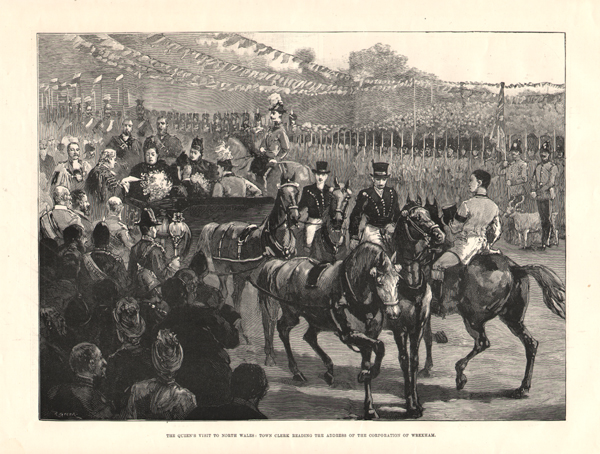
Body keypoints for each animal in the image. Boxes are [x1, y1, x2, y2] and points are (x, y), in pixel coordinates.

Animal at [200, 174, 302, 344]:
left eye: (297, 192)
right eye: (282, 194)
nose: (294, 217)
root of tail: (218, 226)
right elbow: (268, 313)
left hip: (240, 275)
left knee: (236, 297)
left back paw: (243, 333)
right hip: (222, 269)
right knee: (224, 293)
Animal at [251, 243, 400, 420]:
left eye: (397, 281)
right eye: (379, 281)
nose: (394, 313)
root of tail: (282, 265)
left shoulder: (369, 337)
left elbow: (370, 359)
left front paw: (369, 406)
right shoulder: (349, 334)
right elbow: (380, 346)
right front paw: (368, 375)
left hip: (316, 319)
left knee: (309, 336)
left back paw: (328, 370)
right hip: (292, 313)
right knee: (282, 329)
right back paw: (296, 371)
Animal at [392, 198, 564, 414]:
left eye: (425, 216)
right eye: (417, 217)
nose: (438, 235)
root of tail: (516, 268)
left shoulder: (424, 313)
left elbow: (426, 338)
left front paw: (428, 368)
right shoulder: (426, 314)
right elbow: (428, 339)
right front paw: (427, 367)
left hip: (473, 319)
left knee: (483, 342)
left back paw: (460, 376)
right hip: (513, 319)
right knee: (531, 344)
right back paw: (522, 388)